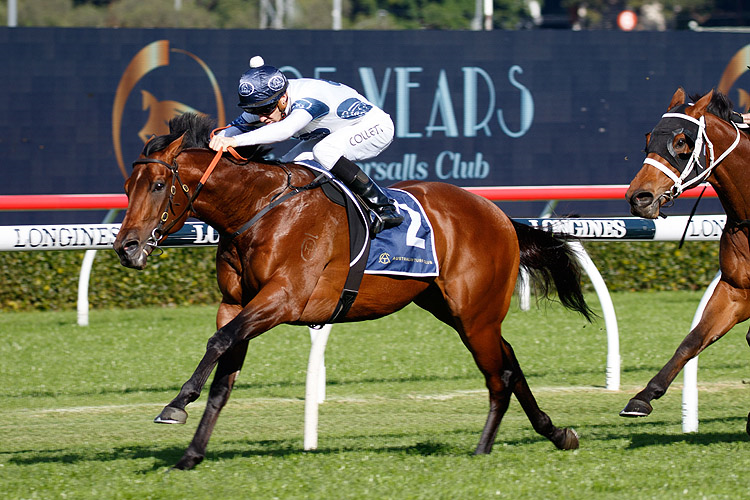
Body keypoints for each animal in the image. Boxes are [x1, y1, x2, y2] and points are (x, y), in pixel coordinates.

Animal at [111, 112, 592, 468]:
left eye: (158, 185)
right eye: (127, 187)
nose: (126, 248)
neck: (258, 209)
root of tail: (497, 214)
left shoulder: (283, 299)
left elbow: (218, 343)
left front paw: (176, 404)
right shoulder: (235, 304)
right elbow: (222, 376)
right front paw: (191, 454)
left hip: (476, 314)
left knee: (499, 375)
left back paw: (483, 448)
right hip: (456, 310)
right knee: (510, 361)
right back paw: (557, 433)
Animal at [624, 87, 750, 430]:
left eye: (682, 142)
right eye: (649, 138)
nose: (639, 197)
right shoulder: (736, 290)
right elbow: (693, 340)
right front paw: (642, 397)